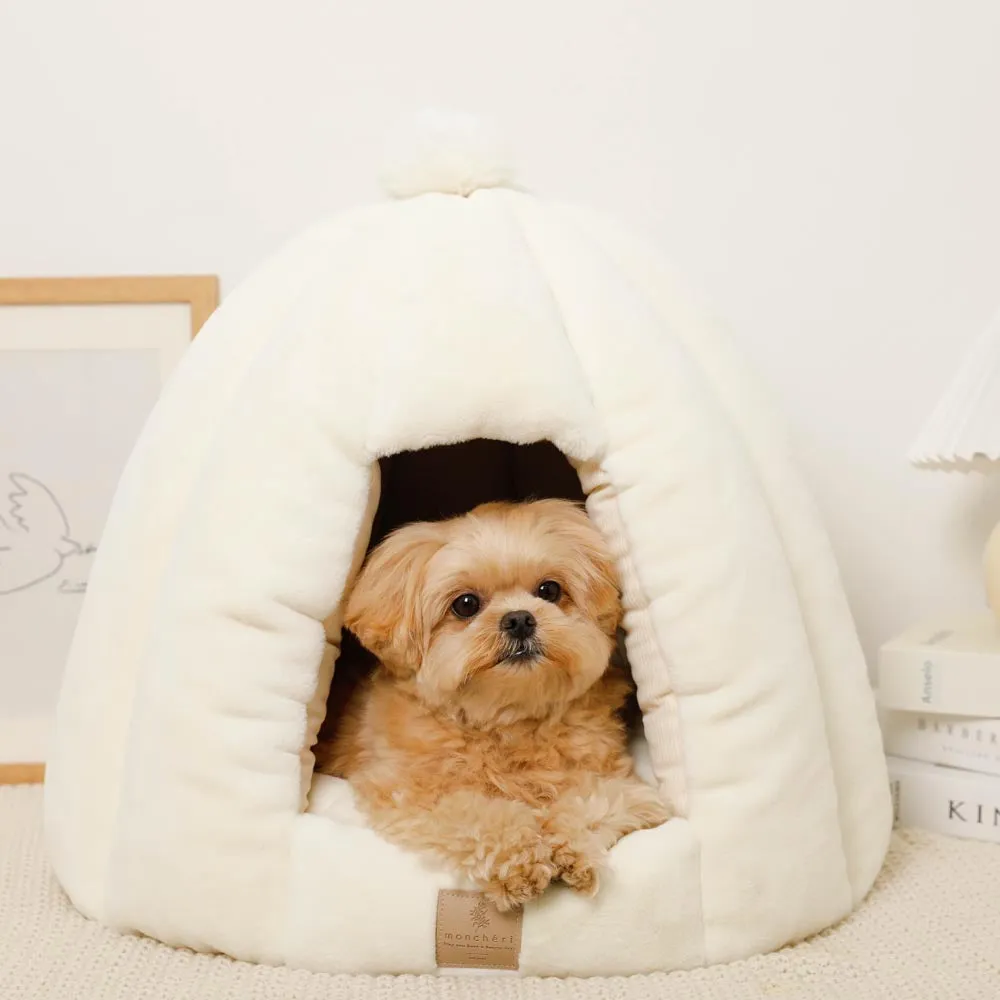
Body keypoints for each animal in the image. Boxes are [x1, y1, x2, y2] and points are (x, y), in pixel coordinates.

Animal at [316, 498, 668, 908]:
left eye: (549, 590)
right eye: (466, 604)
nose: (519, 619)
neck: (508, 719)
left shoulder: (629, 786)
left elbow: (600, 799)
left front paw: (571, 845)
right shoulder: (409, 792)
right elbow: (477, 812)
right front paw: (520, 857)